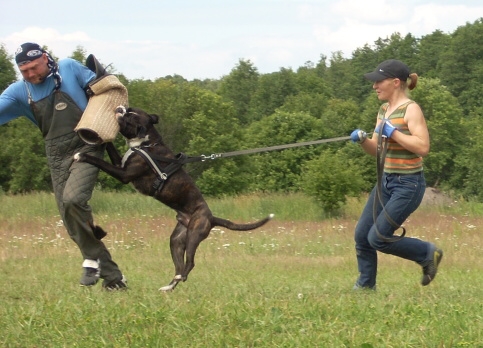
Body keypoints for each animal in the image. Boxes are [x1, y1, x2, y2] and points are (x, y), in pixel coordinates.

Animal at [74, 106, 274, 290]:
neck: (147, 144)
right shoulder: (119, 163)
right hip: (177, 240)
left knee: (190, 263)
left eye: (129, 116)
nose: (121, 108)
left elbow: (100, 162)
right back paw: (169, 286)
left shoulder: (123, 174)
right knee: (179, 265)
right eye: (129, 109)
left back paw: (178, 279)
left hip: (194, 234)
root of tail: (211, 217)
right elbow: (110, 146)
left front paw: (81, 155)